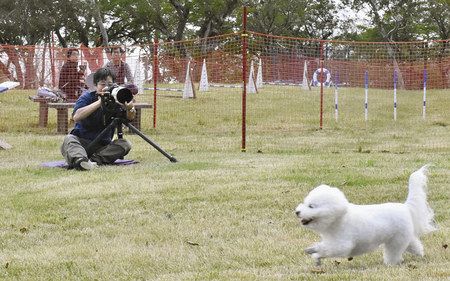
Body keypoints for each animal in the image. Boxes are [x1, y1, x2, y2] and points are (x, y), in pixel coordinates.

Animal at [294, 164, 438, 264]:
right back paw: (420, 253)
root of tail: (405, 207)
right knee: (413, 243)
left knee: (394, 253)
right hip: (403, 236)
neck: (339, 218)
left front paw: (314, 251)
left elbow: (327, 249)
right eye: (304, 203)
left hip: (396, 240)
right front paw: (315, 254)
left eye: (311, 206)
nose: (297, 212)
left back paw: (391, 263)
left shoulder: (342, 245)